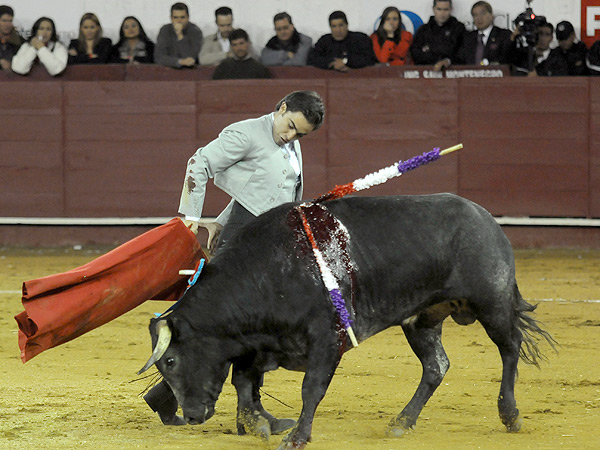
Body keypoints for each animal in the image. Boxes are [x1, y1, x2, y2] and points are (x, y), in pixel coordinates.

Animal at [139, 194, 552, 450]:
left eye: (171, 361)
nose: (192, 416)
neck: (267, 271)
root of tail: (485, 218)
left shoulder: (327, 339)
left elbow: (310, 389)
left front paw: (296, 437)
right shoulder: (262, 344)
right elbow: (243, 382)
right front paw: (259, 424)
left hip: (492, 303)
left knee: (510, 349)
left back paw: (510, 414)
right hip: (421, 320)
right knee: (436, 366)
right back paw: (401, 422)